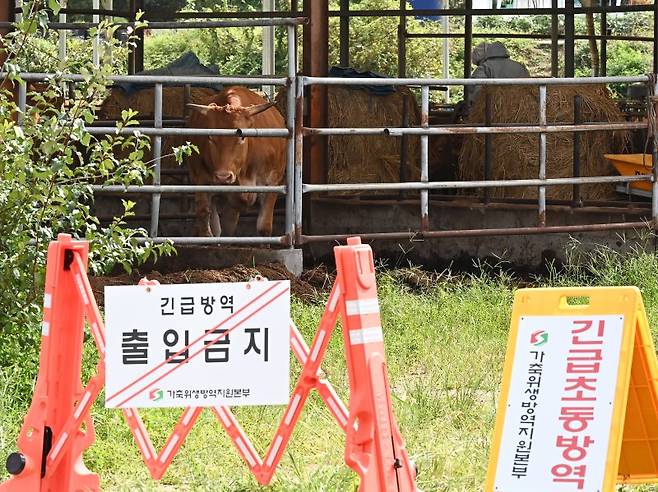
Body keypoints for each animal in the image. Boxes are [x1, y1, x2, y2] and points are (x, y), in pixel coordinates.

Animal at [186, 87, 286, 240]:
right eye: (210, 137)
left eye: (242, 137)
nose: (223, 177)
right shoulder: (201, 179)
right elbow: (204, 216)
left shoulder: (272, 182)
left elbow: (264, 227)